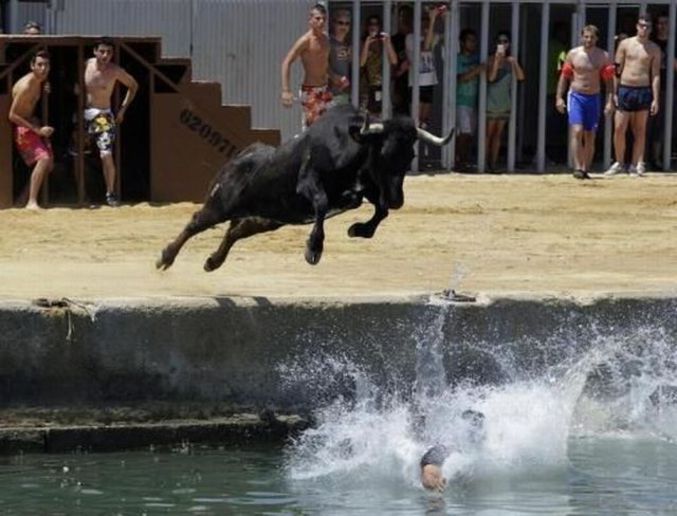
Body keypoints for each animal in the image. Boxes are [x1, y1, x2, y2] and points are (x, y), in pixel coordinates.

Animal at [157, 103, 454, 272]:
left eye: (410, 155)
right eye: (385, 152)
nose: (397, 199)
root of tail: (238, 158)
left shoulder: (366, 189)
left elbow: (380, 210)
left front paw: (359, 229)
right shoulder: (308, 183)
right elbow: (322, 203)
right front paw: (314, 249)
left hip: (267, 218)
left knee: (236, 231)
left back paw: (212, 262)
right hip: (221, 204)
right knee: (196, 222)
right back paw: (165, 257)